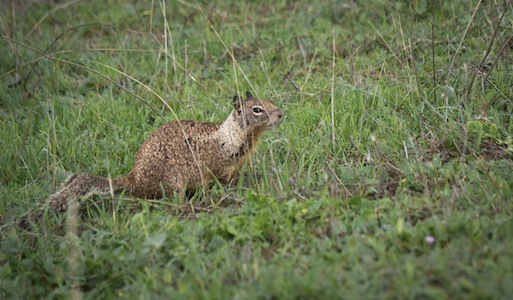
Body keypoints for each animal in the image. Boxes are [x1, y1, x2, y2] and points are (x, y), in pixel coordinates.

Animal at [20, 92, 282, 226]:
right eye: (257, 109)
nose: (280, 113)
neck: (232, 136)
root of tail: (134, 178)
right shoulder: (219, 169)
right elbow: (222, 184)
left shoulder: (236, 168)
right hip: (174, 182)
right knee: (170, 206)